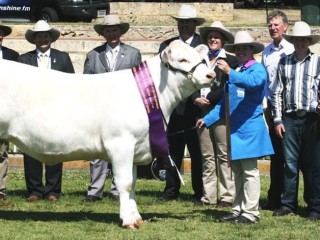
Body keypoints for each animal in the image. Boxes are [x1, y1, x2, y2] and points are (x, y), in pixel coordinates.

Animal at [0, 40, 215, 230]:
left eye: (202, 59)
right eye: (182, 59)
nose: (211, 74)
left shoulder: (136, 148)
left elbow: (133, 183)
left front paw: (137, 218)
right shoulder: (121, 144)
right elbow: (125, 183)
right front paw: (128, 222)